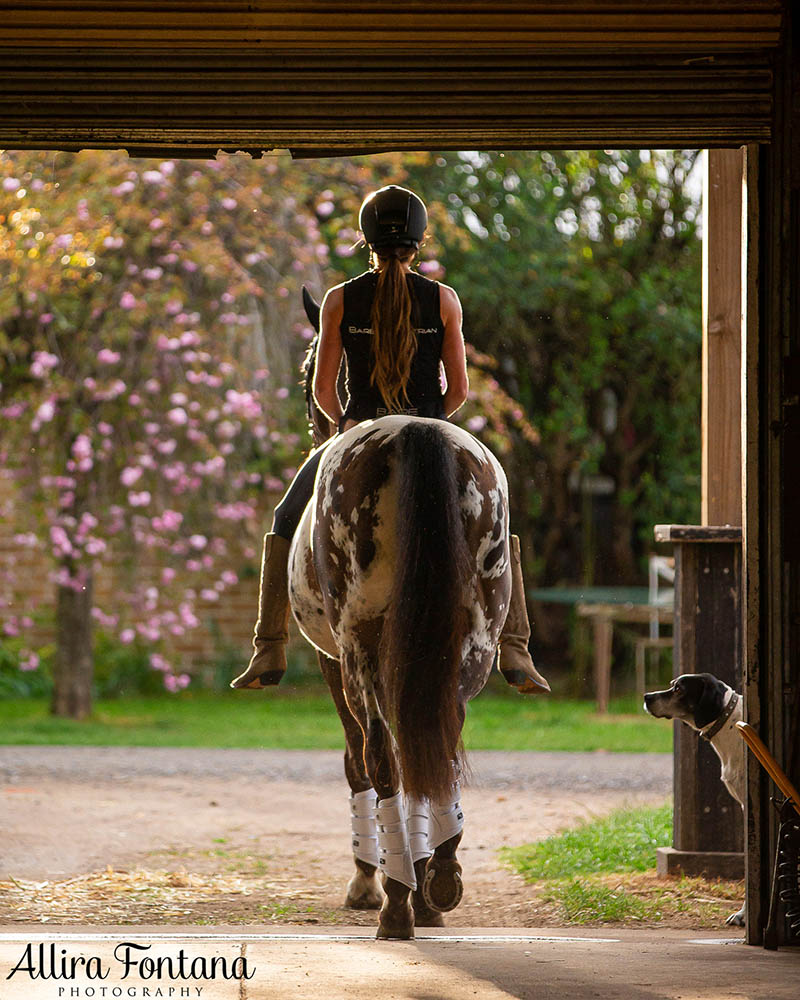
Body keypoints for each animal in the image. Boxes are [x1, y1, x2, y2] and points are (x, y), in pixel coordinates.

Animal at [288, 290, 512, 936]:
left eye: (309, 370)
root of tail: (413, 432)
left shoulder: (331, 659)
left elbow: (355, 763)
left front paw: (369, 880)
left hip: (360, 648)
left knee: (382, 758)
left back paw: (393, 900)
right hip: (471, 641)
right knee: (440, 735)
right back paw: (438, 881)